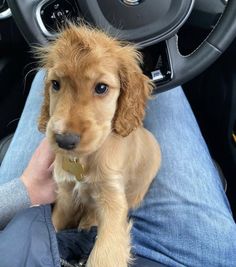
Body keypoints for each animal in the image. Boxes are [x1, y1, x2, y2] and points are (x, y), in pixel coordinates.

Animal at [37, 25, 161, 267]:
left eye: (101, 88)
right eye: (55, 84)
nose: (64, 141)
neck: (84, 159)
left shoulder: (113, 201)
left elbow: (105, 254)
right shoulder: (66, 194)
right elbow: (52, 225)